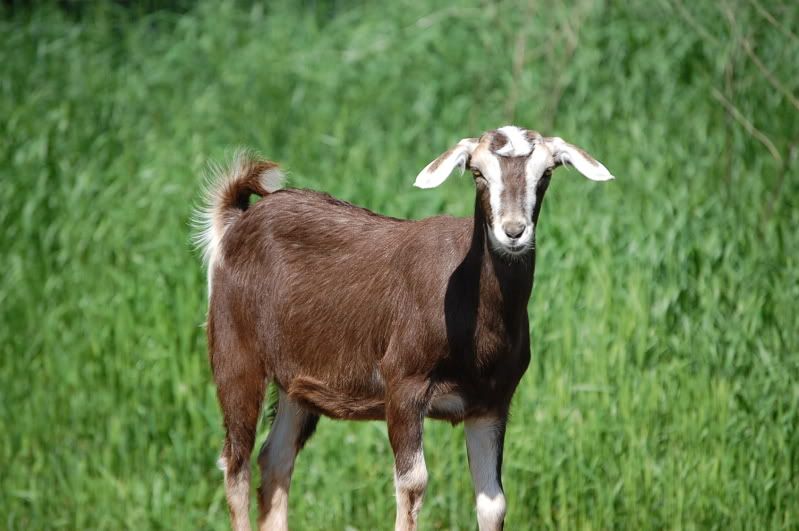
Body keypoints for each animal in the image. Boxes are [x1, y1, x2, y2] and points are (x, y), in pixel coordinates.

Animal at [197, 125, 614, 531]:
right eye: (477, 173)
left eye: (545, 174)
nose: (513, 231)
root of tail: (235, 223)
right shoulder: (403, 385)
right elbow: (413, 484)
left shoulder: (492, 402)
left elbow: (493, 503)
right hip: (235, 354)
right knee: (235, 463)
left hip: (296, 382)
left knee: (276, 458)